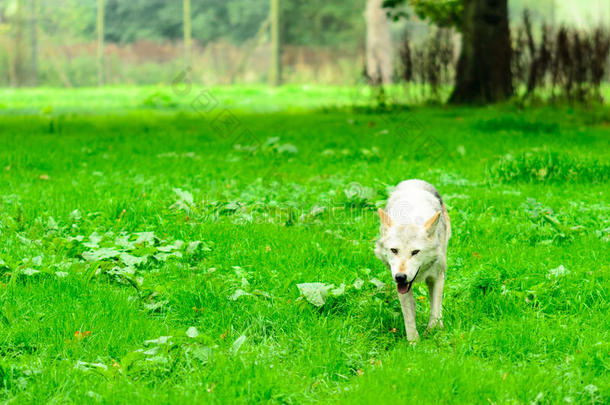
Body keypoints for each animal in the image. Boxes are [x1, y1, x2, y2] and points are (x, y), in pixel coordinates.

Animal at [372, 178, 448, 340]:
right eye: (394, 250)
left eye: (415, 252)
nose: (400, 277)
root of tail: (414, 180)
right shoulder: (401, 287)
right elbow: (408, 316)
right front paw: (414, 342)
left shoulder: (438, 276)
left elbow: (435, 307)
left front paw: (433, 333)